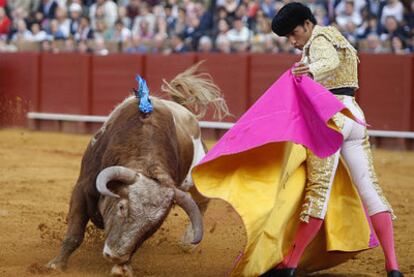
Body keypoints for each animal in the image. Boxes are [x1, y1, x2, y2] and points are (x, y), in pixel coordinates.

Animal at [47, 63, 233, 274]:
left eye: (152, 226)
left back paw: (187, 242)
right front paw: (57, 265)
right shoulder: (83, 187)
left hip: (194, 176)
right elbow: (75, 233)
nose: (115, 255)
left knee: (203, 200)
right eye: (121, 207)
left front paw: (122, 268)